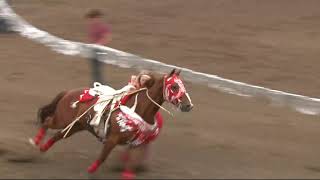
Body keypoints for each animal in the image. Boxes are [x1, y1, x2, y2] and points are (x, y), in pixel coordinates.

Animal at [28, 68, 192, 179]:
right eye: (174, 86)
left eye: (183, 85)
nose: (188, 105)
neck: (138, 110)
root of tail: (68, 92)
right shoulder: (112, 139)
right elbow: (102, 157)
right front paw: (89, 172)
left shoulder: (136, 143)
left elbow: (131, 163)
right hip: (62, 119)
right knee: (47, 123)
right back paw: (35, 142)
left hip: (76, 126)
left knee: (57, 136)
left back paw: (42, 148)